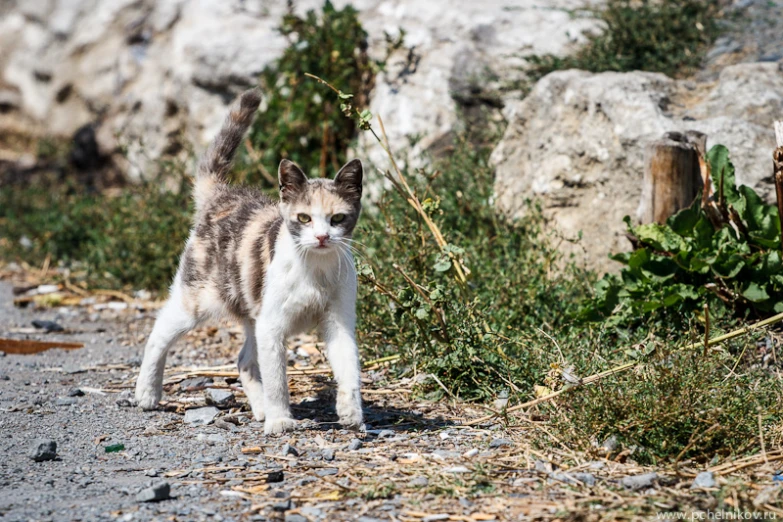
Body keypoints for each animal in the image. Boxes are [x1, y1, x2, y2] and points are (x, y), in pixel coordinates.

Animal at [133, 87, 366, 432]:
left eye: (337, 218)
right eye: (304, 218)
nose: (323, 237)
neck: (315, 269)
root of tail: (221, 194)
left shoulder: (337, 321)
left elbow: (349, 367)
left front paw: (351, 412)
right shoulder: (272, 326)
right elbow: (277, 380)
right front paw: (280, 419)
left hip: (253, 310)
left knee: (243, 359)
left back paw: (259, 407)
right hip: (197, 300)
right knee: (159, 331)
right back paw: (147, 392)